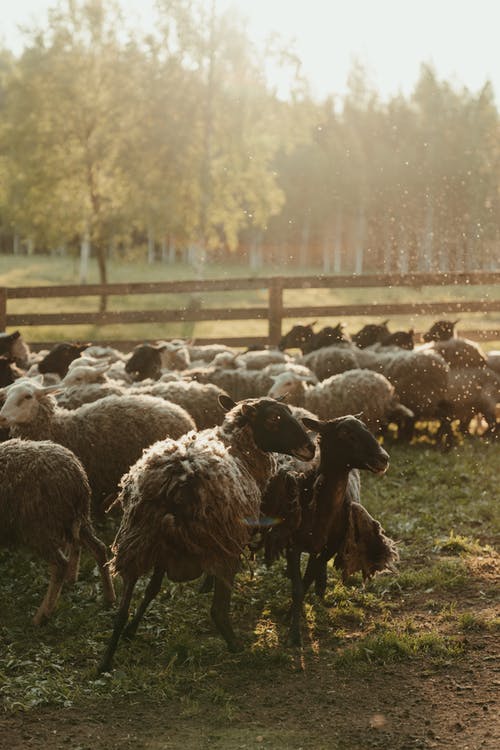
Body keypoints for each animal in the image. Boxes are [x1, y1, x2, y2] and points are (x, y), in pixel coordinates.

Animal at [0, 438, 114, 624]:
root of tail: (76, 475)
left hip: (39, 527)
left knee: (60, 564)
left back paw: (41, 617)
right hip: (75, 519)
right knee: (99, 548)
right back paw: (109, 598)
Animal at [98, 396, 314, 672]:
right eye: (274, 418)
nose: (311, 447)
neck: (238, 447)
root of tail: (175, 480)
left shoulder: (164, 549)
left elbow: (152, 589)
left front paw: (132, 629)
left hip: (138, 537)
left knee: (122, 607)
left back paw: (107, 658)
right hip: (220, 542)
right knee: (218, 610)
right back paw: (238, 647)